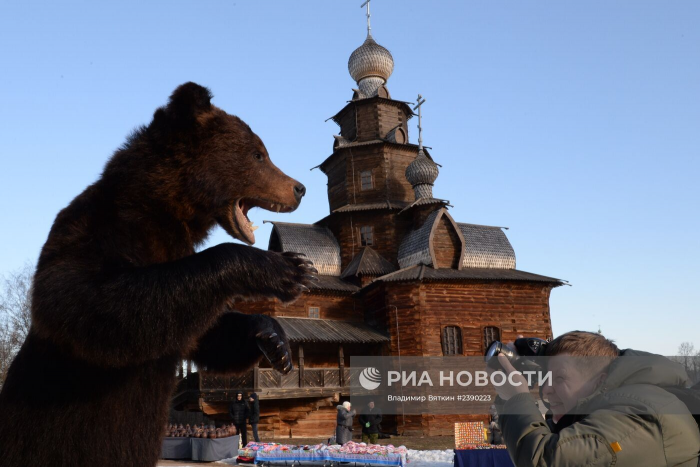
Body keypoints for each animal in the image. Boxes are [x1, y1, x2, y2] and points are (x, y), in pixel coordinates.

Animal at [0, 82, 317, 467]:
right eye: (258, 154)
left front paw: (274, 341)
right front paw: (291, 268)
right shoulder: (93, 230)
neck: (166, 206)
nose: (299, 188)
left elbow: (203, 329)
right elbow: (88, 304)